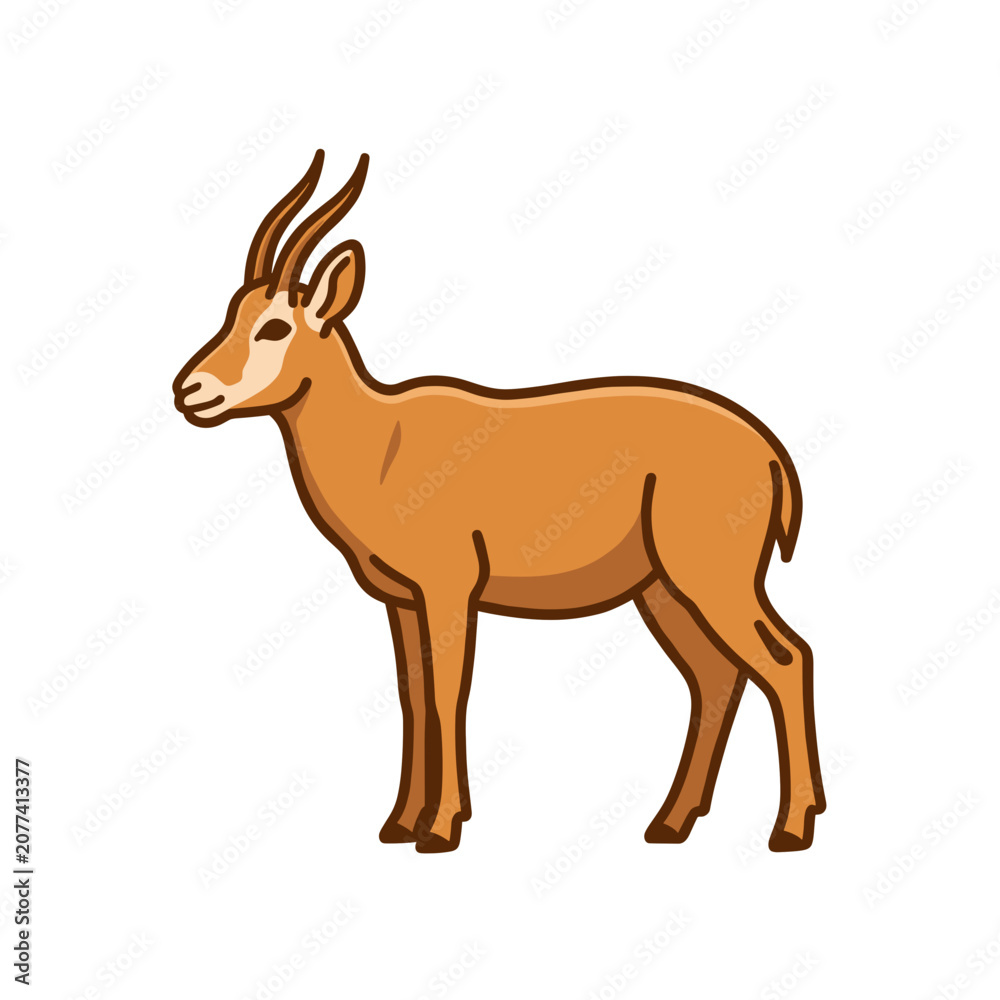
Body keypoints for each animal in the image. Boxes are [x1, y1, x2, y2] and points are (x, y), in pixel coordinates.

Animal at [173, 150, 825, 853]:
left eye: (274, 326)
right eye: (232, 313)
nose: (191, 390)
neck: (383, 444)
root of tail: (769, 451)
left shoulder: (450, 587)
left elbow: (448, 693)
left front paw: (440, 829)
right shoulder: (403, 600)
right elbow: (412, 697)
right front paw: (400, 823)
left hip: (712, 578)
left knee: (786, 659)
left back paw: (790, 828)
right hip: (663, 590)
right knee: (716, 676)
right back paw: (670, 824)